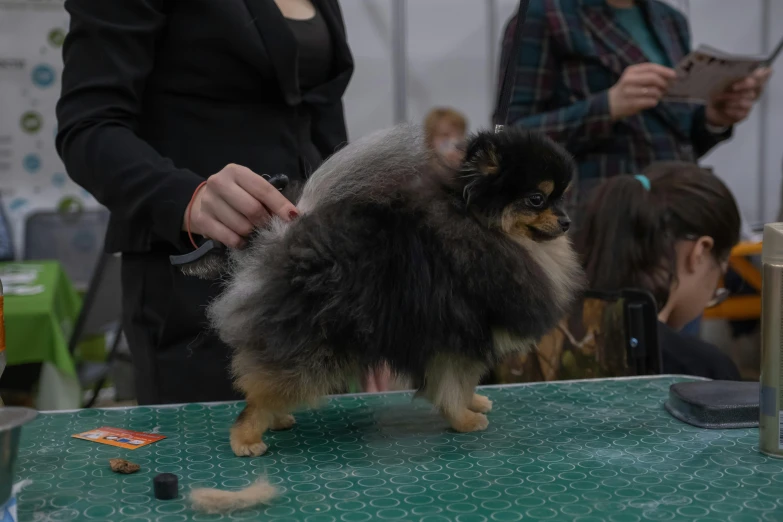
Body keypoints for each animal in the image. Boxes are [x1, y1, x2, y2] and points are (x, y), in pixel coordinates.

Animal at [205, 122, 584, 456]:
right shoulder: (457, 335)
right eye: (537, 199)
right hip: (313, 344)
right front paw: (463, 418)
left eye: (562, 197)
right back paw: (246, 438)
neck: (482, 227)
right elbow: (454, 384)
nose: (566, 221)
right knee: (261, 394)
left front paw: (474, 402)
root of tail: (286, 239)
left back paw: (277, 418)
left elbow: (464, 383)